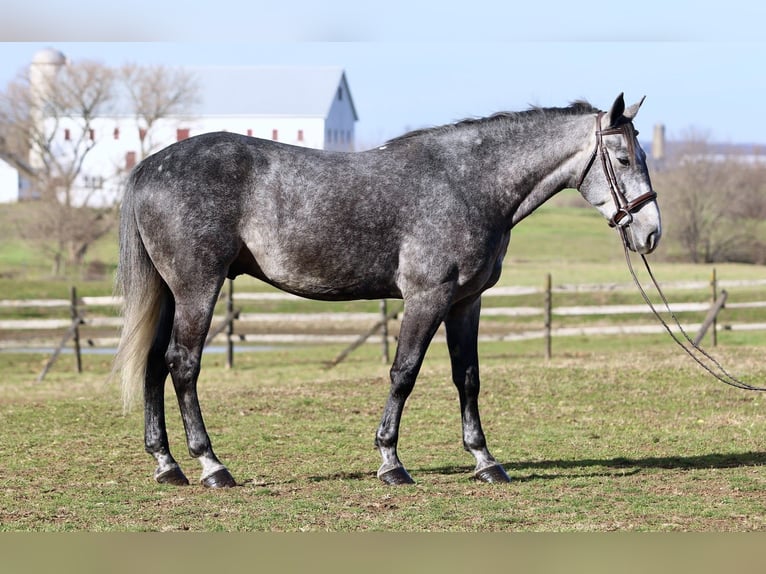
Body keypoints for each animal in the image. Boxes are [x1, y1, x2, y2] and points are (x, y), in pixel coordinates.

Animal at [114, 93, 661, 487]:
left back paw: (168, 466)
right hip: (197, 289)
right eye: (623, 157)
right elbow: (404, 374)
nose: (651, 232)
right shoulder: (427, 297)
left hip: (170, 294)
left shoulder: (466, 302)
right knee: (183, 365)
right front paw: (391, 462)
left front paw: (485, 461)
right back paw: (212, 466)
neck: (468, 183)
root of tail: (150, 166)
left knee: (153, 366)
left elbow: (467, 378)